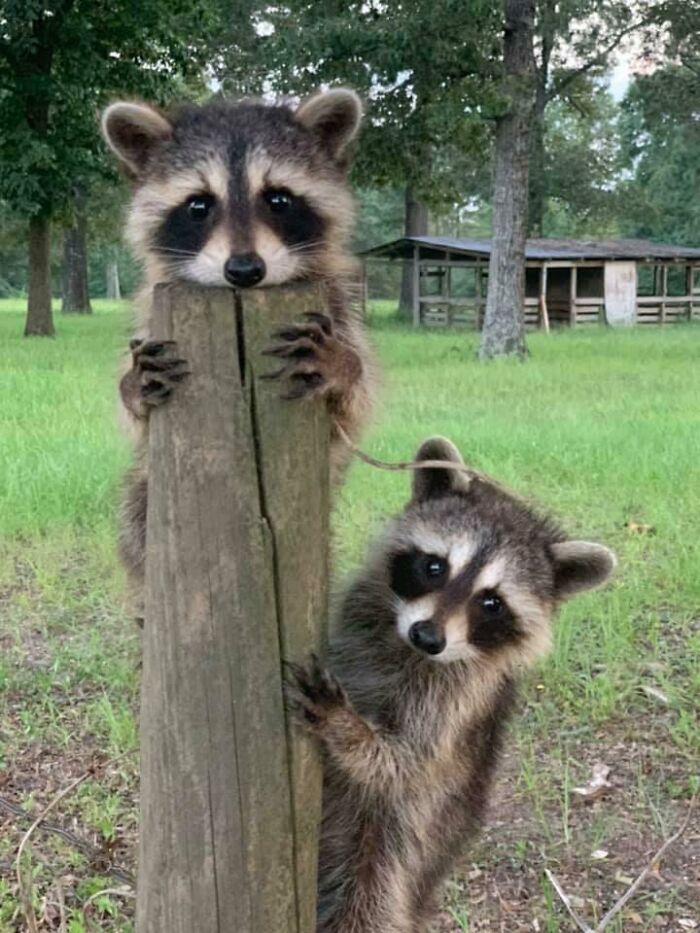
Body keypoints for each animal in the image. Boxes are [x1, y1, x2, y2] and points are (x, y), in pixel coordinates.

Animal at [100, 89, 376, 600]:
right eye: (198, 205)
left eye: (279, 199)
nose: (245, 270)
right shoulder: (153, 311)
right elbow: (140, 424)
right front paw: (131, 386)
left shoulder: (336, 306)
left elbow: (352, 406)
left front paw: (344, 365)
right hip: (144, 501)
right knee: (135, 524)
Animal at [287, 437, 616, 933]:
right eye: (434, 566)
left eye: (492, 602)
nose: (427, 636)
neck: (405, 649)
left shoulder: (457, 702)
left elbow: (402, 762)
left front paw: (347, 727)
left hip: (392, 855)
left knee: (366, 905)